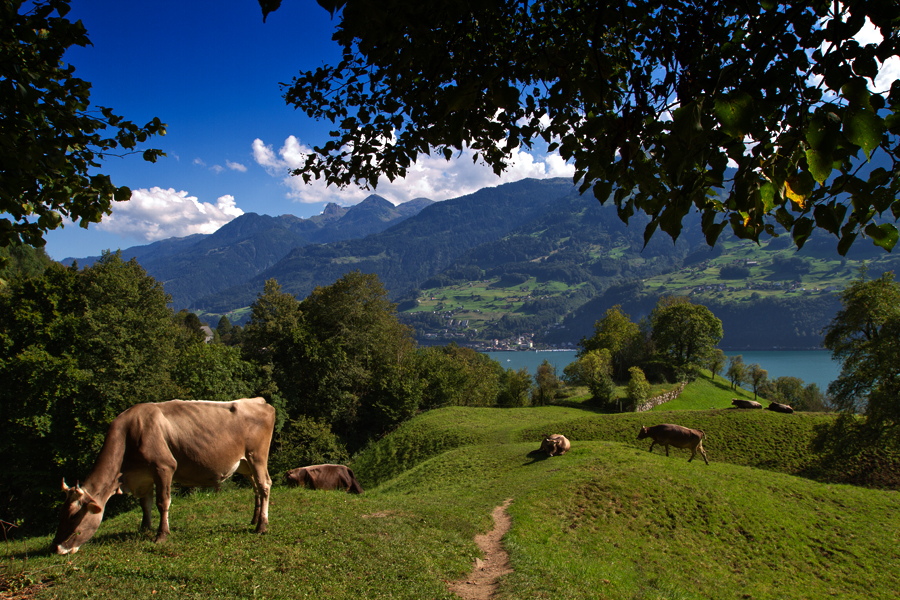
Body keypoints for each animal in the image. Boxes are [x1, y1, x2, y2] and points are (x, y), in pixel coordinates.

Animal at [51, 396, 274, 556]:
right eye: (60, 514)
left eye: (74, 517)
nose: (57, 548)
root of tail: (258, 401)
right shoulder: (144, 476)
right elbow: (145, 504)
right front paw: (144, 529)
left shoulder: (164, 467)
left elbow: (162, 502)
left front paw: (161, 535)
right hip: (245, 464)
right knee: (256, 488)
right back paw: (254, 519)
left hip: (257, 456)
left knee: (264, 485)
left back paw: (261, 526)